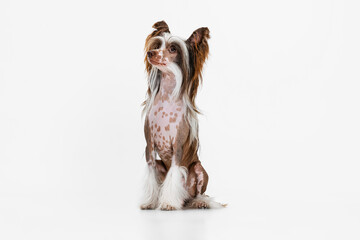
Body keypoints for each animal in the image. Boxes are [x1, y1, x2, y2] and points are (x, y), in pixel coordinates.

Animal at [140, 20, 222, 209]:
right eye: (157, 45)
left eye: (172, 49)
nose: (150, 53)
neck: (166, 98)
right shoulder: (150, 147)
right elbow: (151, 177)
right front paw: (150, 202)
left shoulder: (178, 147)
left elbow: (174, 173)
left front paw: (168, 203)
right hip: (160, 164)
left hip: (200, 170)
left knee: (199, 193)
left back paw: (199, 202)